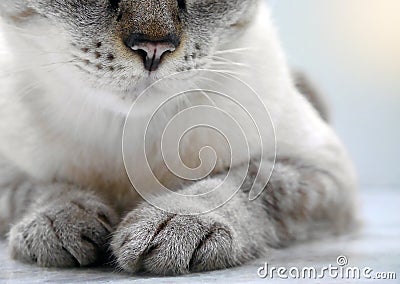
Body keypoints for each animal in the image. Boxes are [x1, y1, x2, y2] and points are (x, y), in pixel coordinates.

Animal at [0, 0, 358, 276]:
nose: (153, 47)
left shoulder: (325, 175)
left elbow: (239, 184)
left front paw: (175, 225)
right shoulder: (8, 177)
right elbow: (39, 188)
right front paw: (61, 221)